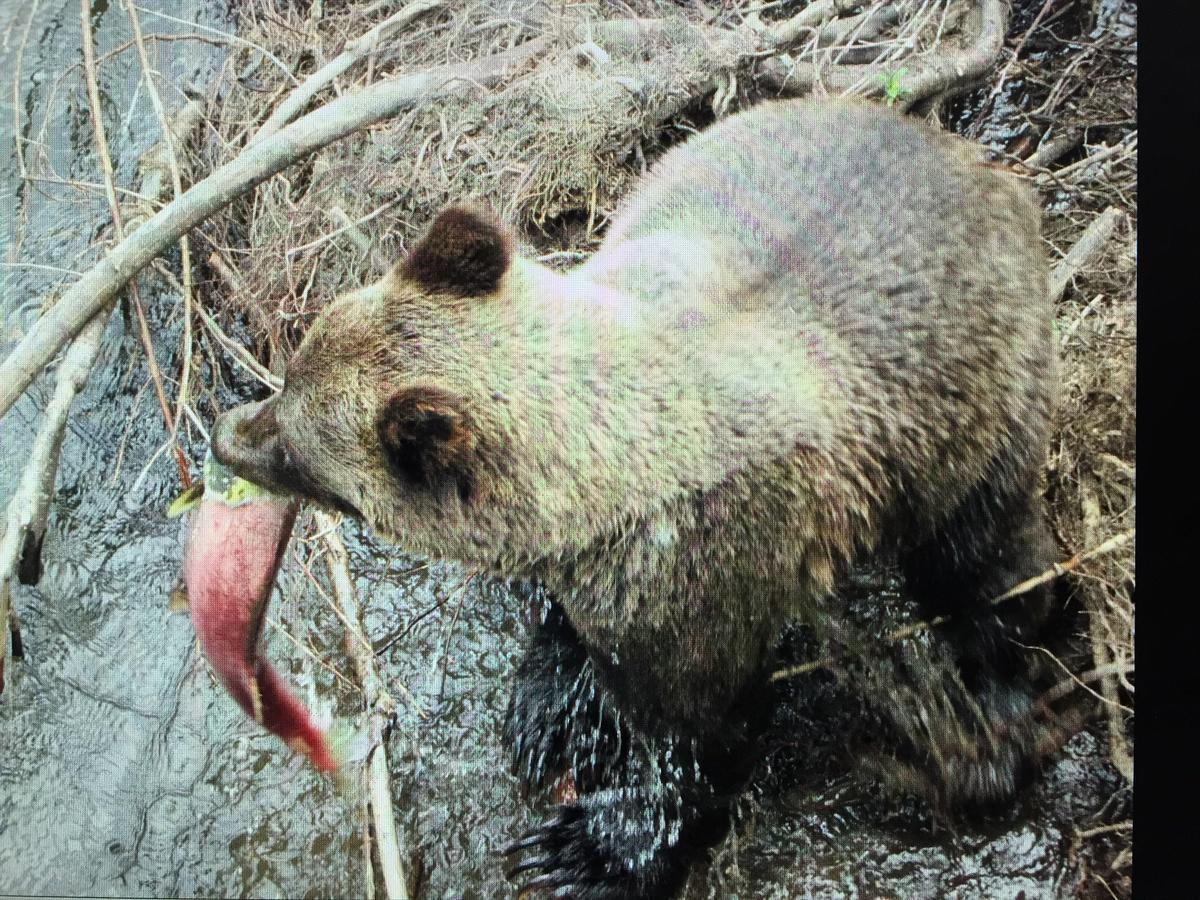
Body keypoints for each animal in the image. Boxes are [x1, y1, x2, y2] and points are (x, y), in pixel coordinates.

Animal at [211, 97, 1056, 897]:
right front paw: (554, 710)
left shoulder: (712, 579)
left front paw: (586, 849)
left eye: (295, 443)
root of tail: (974, 160)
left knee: (985, 560)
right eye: (293, 370)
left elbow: (696, 737)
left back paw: (1003, 688)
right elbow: (577, 639)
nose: (227, 434)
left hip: (979, 410)